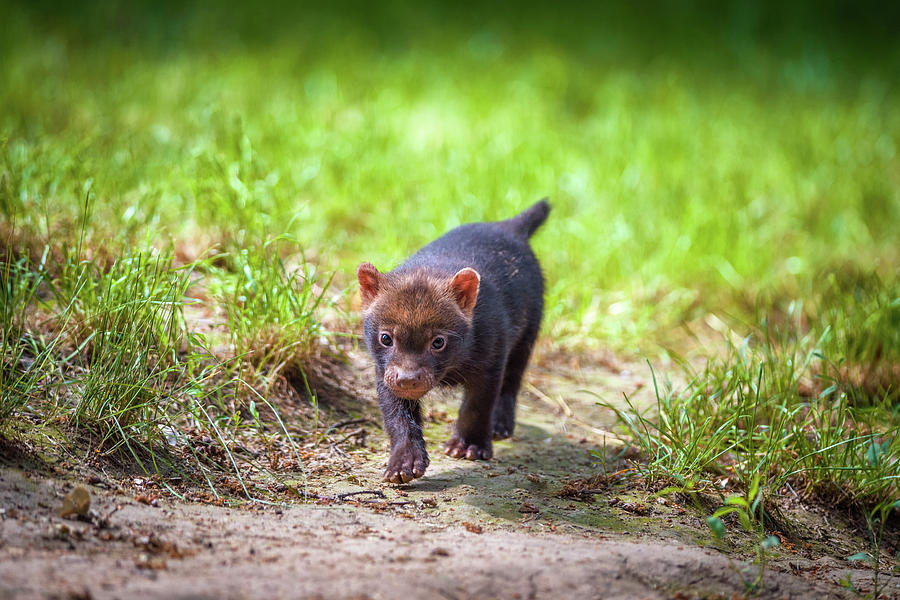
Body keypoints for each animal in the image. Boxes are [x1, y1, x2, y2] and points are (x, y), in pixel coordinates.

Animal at [358, 200, 548, 482]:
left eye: (438, 342)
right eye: (385, 338)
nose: (407, 379)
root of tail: (509, 225)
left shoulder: (491, 361)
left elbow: (476, 406)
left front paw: (468, 446)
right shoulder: (385, 372)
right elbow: (398, 418)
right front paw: (403, 464)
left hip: (527, 335)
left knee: (512, 382)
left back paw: (500, 426)